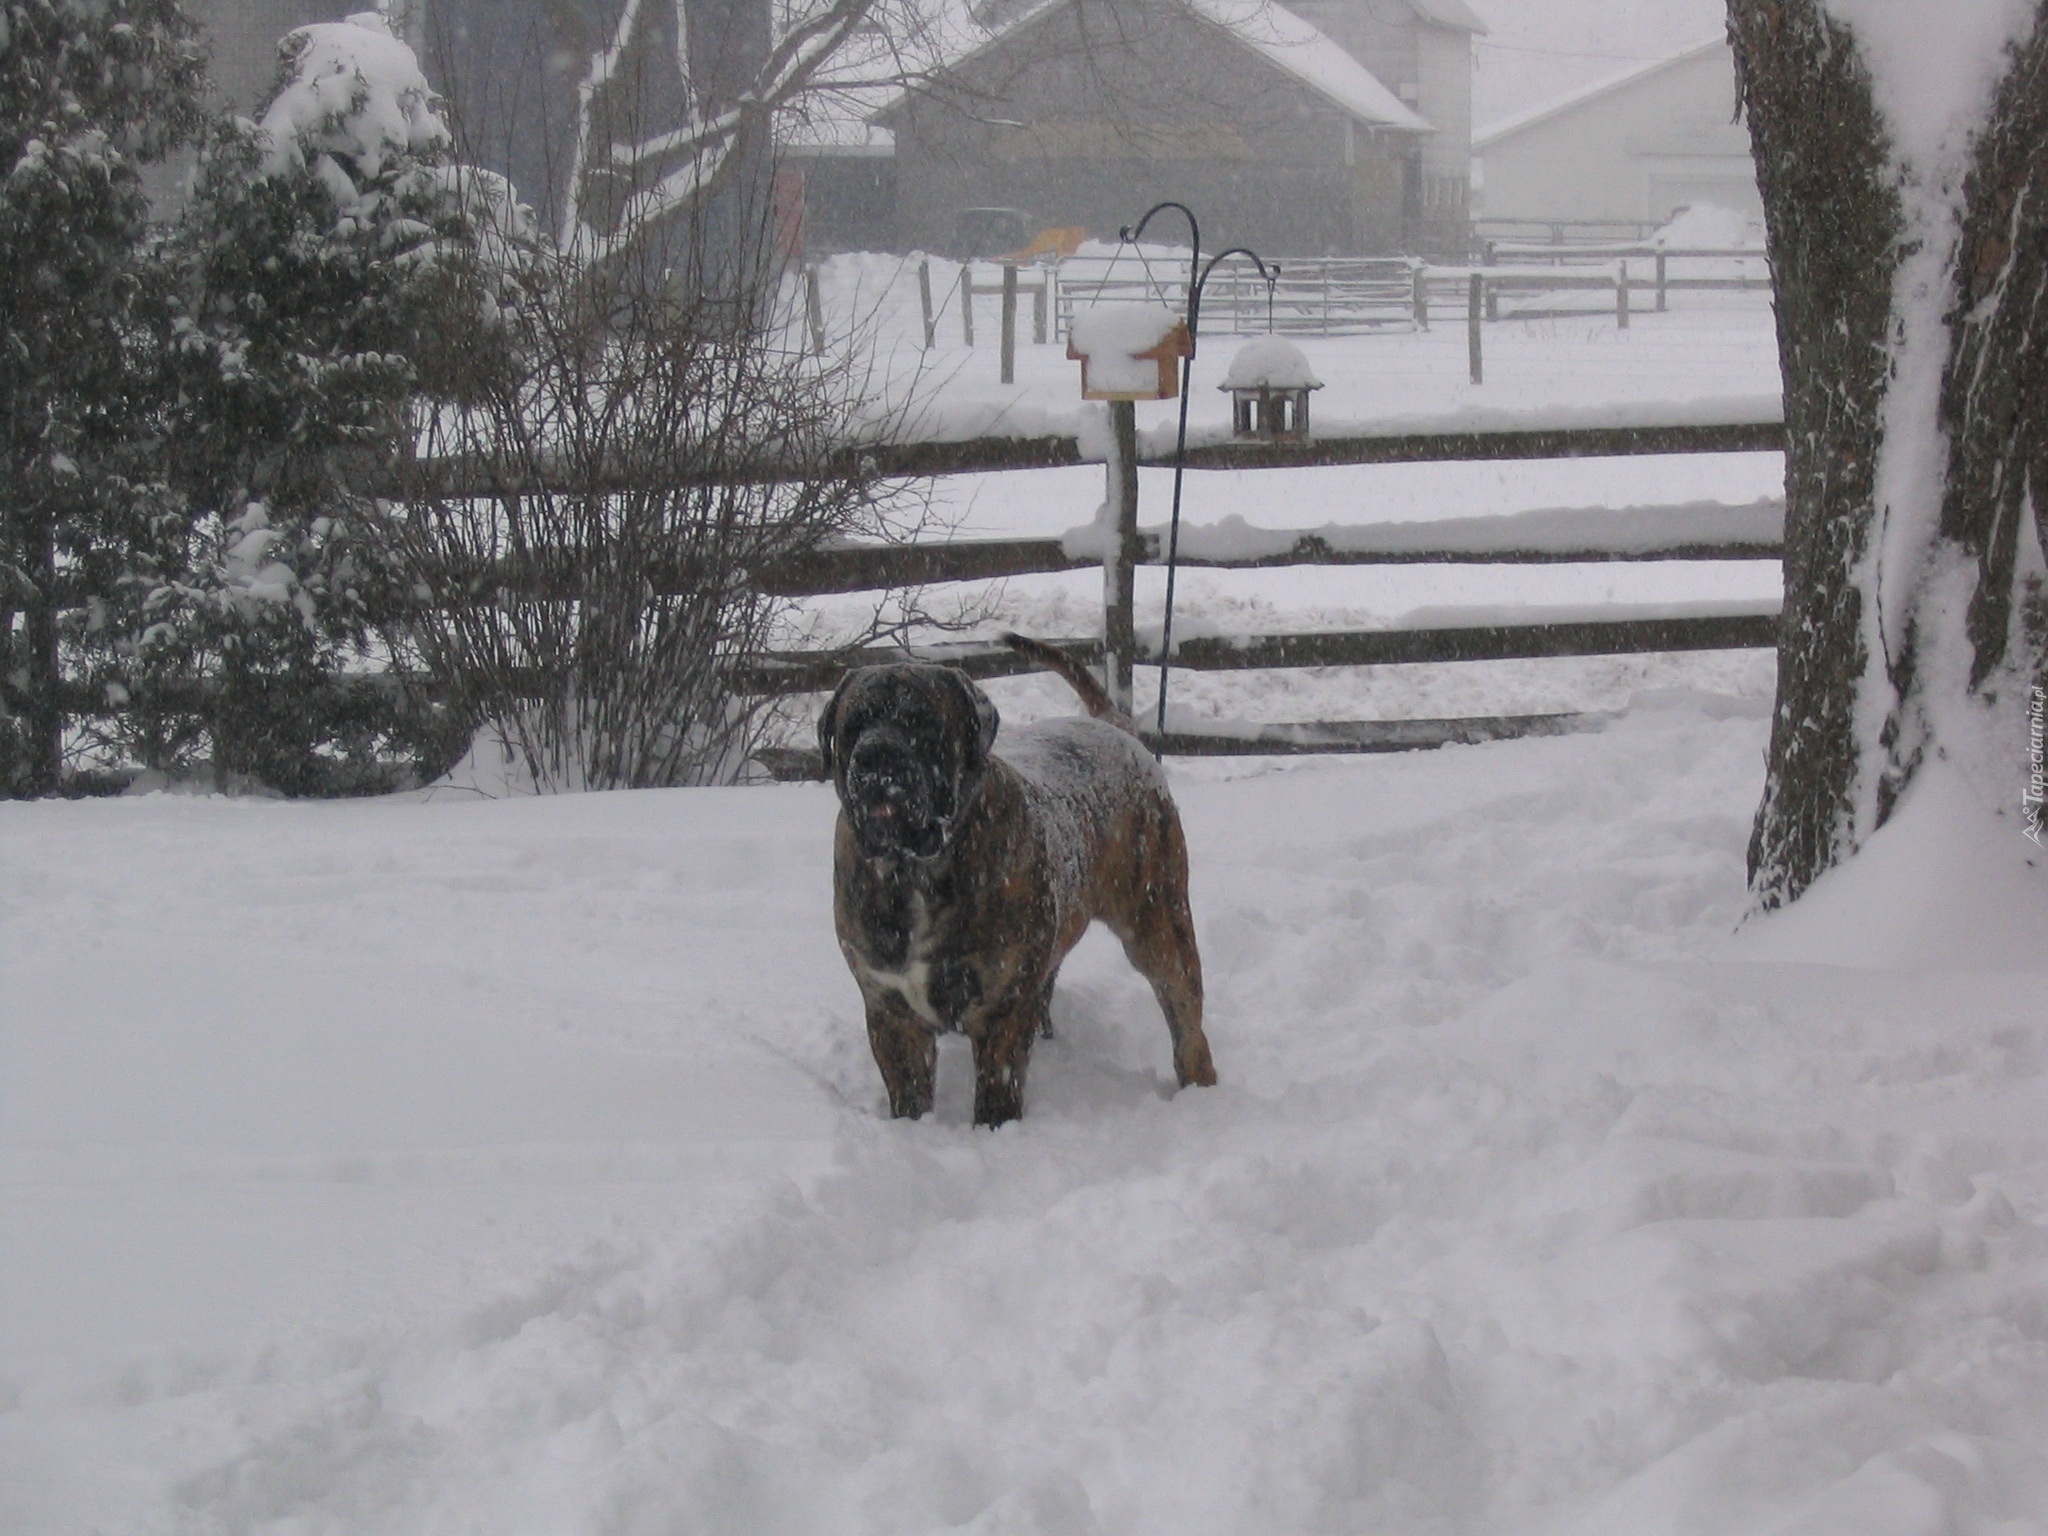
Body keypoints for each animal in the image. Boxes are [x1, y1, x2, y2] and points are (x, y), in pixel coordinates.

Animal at [819, 630, 1212, 1122]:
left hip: (1158, 922)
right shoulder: (890, 1010)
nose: (877, 755)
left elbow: (997, 1090)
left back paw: (1201, 1087)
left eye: (921, 722)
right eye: (854, 725)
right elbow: (908, 1092)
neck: (915, 871)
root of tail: (1115, 726)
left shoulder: (1001, 1010)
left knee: (1186, 1019)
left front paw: (993, 1129)